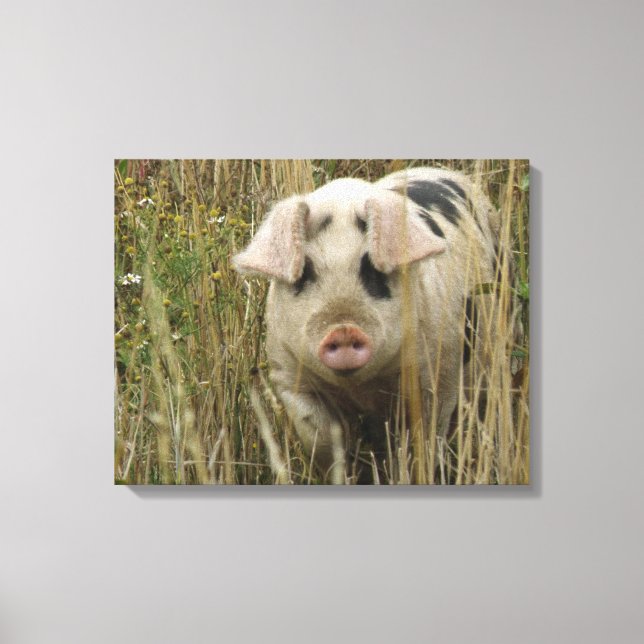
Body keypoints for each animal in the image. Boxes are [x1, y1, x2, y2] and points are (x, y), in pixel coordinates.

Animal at [233, 167, 501, 483]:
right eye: (305, 272)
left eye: (372, 268)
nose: (344, 329)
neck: (362, 389)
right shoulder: (289, 376)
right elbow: (321, 439)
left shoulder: (438, 374)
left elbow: (422, 442)